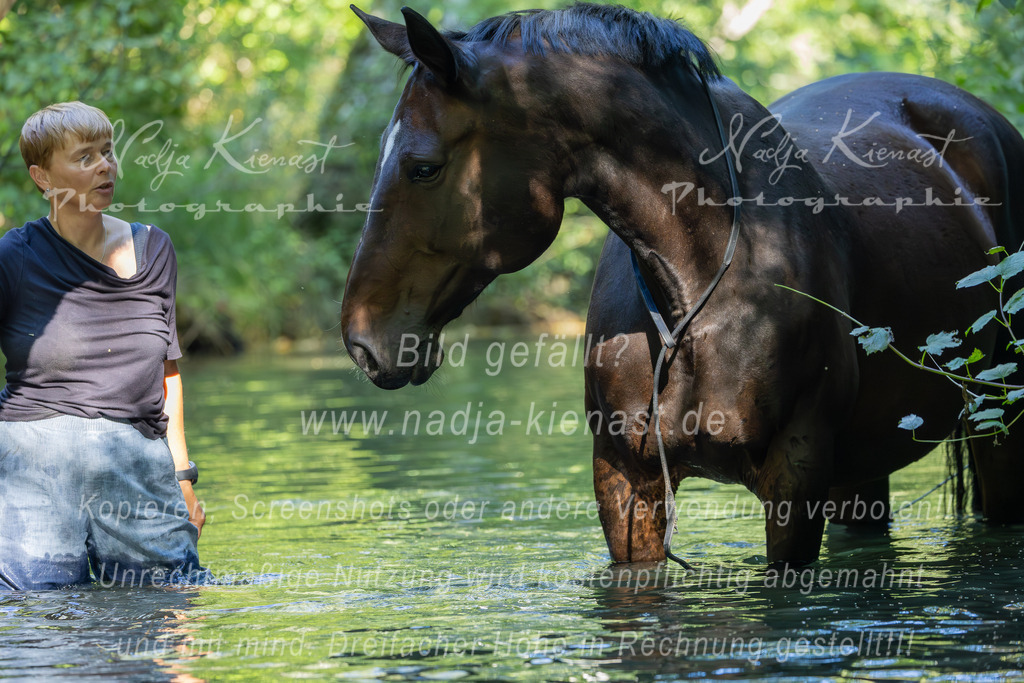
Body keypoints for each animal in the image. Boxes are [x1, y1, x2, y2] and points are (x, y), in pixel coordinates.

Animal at [340, 2, 1024, 565]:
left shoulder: (797, 474)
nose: (362, 341)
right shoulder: (626, 481)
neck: (700, 292)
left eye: (422, 168)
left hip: (999, 419)